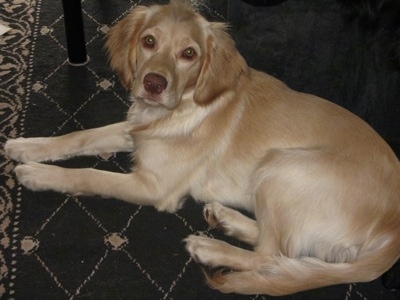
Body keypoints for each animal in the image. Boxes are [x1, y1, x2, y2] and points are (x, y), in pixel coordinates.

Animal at [3, 0, 400, 296]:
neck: (182, 107)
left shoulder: (153, 186)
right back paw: (227, 219)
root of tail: (392, 230)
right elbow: (81, 136)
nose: (153, 84)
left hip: (282, 165)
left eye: (189, 53)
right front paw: (27, 145)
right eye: (149, 41)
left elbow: (89, 175)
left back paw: (211, 248)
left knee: (272, 257)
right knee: (277, 245)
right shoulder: (136, 131)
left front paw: (38, 174)